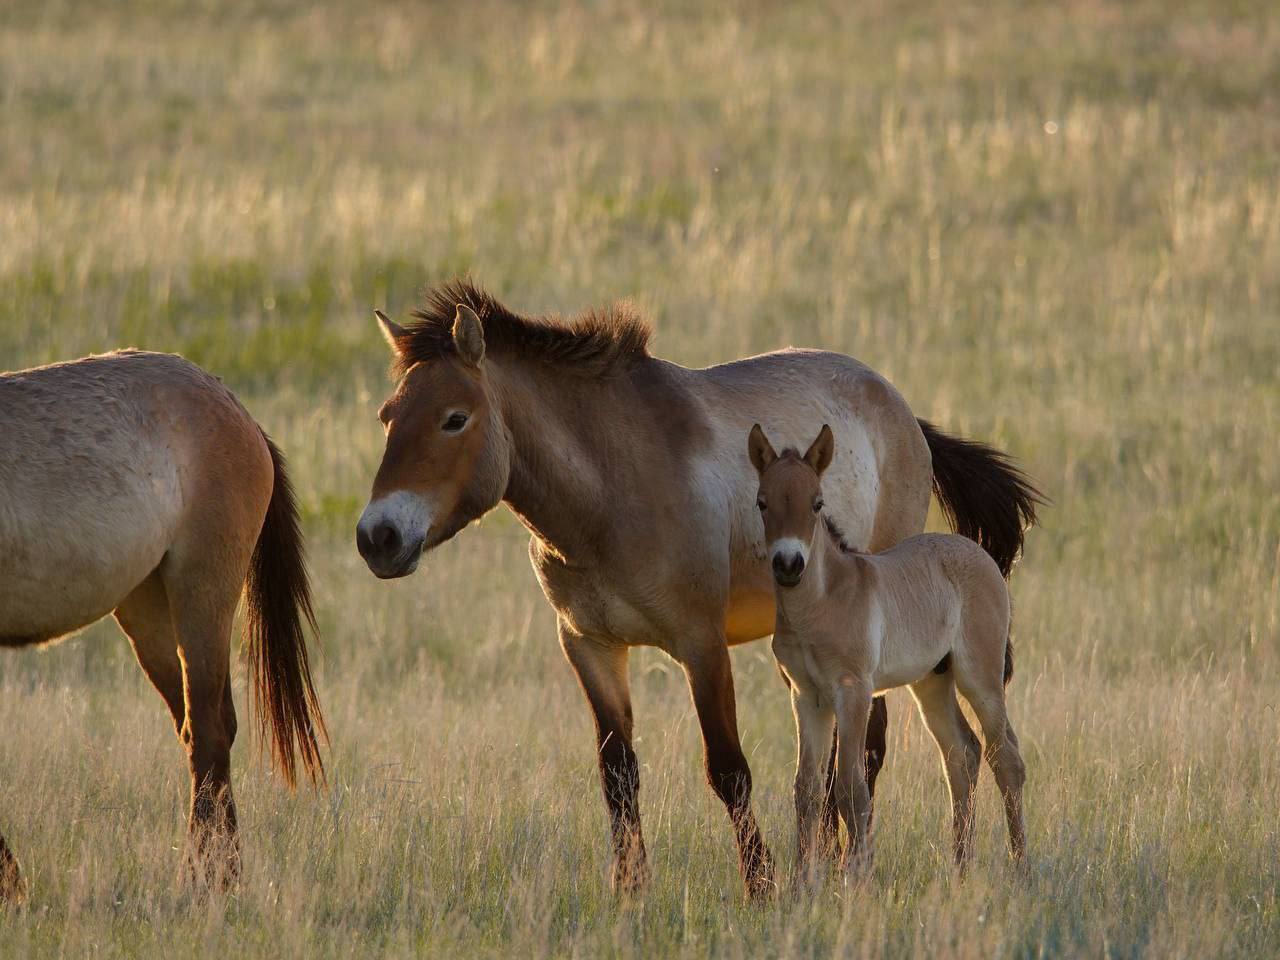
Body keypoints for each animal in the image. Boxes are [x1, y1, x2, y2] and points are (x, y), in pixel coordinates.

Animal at [0, 350, 327, 901]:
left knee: (209, 733)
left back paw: (207, 882)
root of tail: (237, 410)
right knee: (203, 730)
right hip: (146, 610)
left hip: (202, 592)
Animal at [747, 424, 1024, 885]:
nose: (788, 565)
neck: (821, 603)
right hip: (932, 681)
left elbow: (849, 787)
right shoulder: (807, 697)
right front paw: (802, 886)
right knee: (962, 753)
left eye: (817, 503)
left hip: (980, 678)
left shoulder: (854, 691)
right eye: (762, 502)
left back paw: (1023, 866)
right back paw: (960, 869)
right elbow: (806, 788)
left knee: (1006, 759)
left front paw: (856, 880)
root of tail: (977, 552)